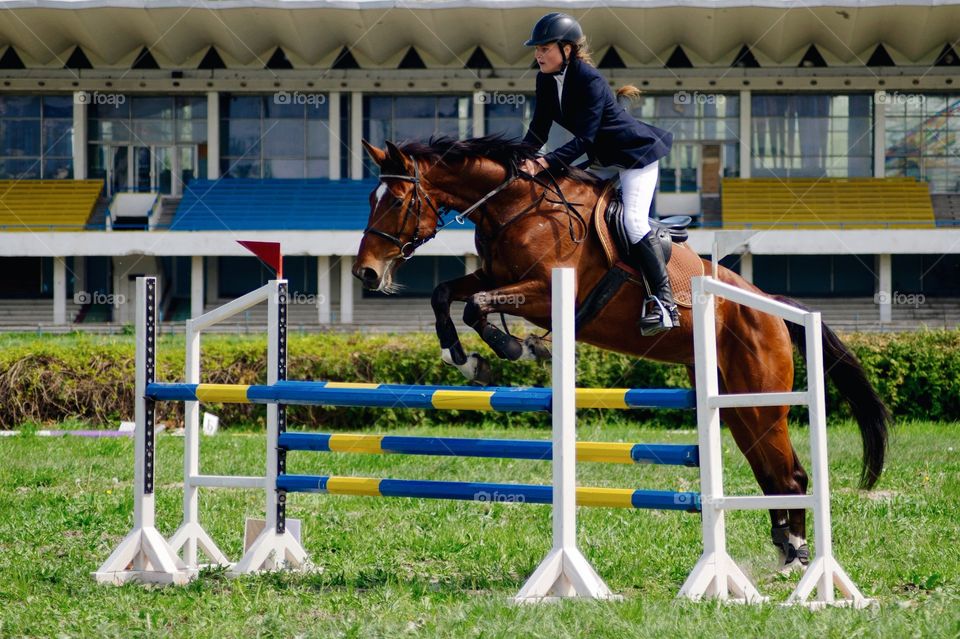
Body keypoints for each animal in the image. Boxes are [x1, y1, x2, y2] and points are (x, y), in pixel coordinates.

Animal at [354, 134, 892, 568]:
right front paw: (463, 359)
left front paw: (515, 347)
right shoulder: (493, 276)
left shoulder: (548, 294)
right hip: (736, 406)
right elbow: (446, 293)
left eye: (396, 200)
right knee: (770, 472)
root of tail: (772, 307)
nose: (365, 273)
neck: (519, 208)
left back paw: (798, 555)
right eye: (370, 198)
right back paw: (786, 549)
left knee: (790, 473)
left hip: (760, 401)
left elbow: (476, 306)